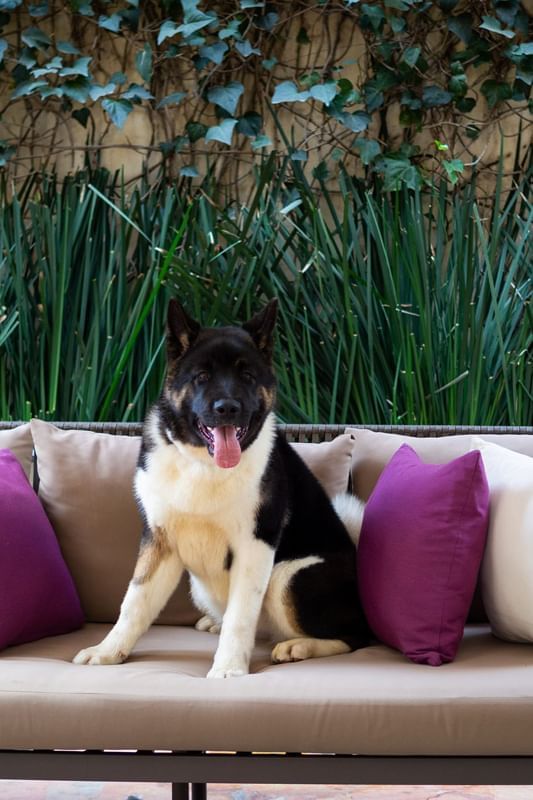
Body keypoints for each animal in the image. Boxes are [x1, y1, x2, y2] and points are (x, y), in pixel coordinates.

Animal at [72, 298, 368, 676]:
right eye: (202, 377)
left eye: (247, 376)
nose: (227, 408)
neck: (202, 462)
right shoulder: (159, 540)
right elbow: (135, 602)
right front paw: (107, 650)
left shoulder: (255, 545)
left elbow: (240, 616)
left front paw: (229, 669)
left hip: (288, 575)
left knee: (354, 636)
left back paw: (299, 645)